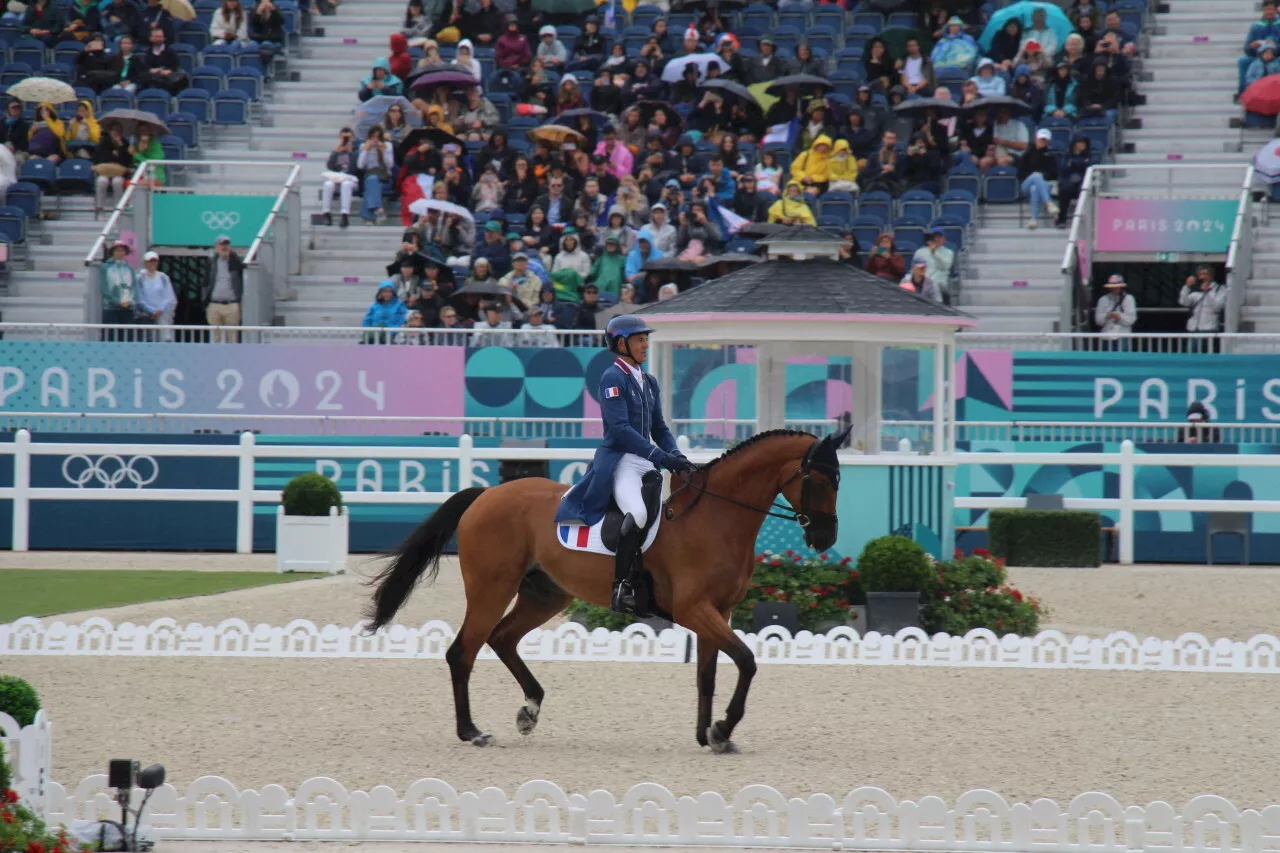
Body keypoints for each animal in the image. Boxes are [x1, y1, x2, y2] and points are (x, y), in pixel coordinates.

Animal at [366, 425, 849, 753]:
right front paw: (722, 730)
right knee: (463, 651)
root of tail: (487, 495)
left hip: (546, 594)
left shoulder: (719, 611)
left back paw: (530, 710)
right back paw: (472, 731)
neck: (716, 517)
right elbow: (747, 660)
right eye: (819, 481)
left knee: (502, 639)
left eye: (839, 481)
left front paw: (707, 734)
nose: (825, 538)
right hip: (491, 588)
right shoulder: (695, 609)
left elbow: (708, 674)